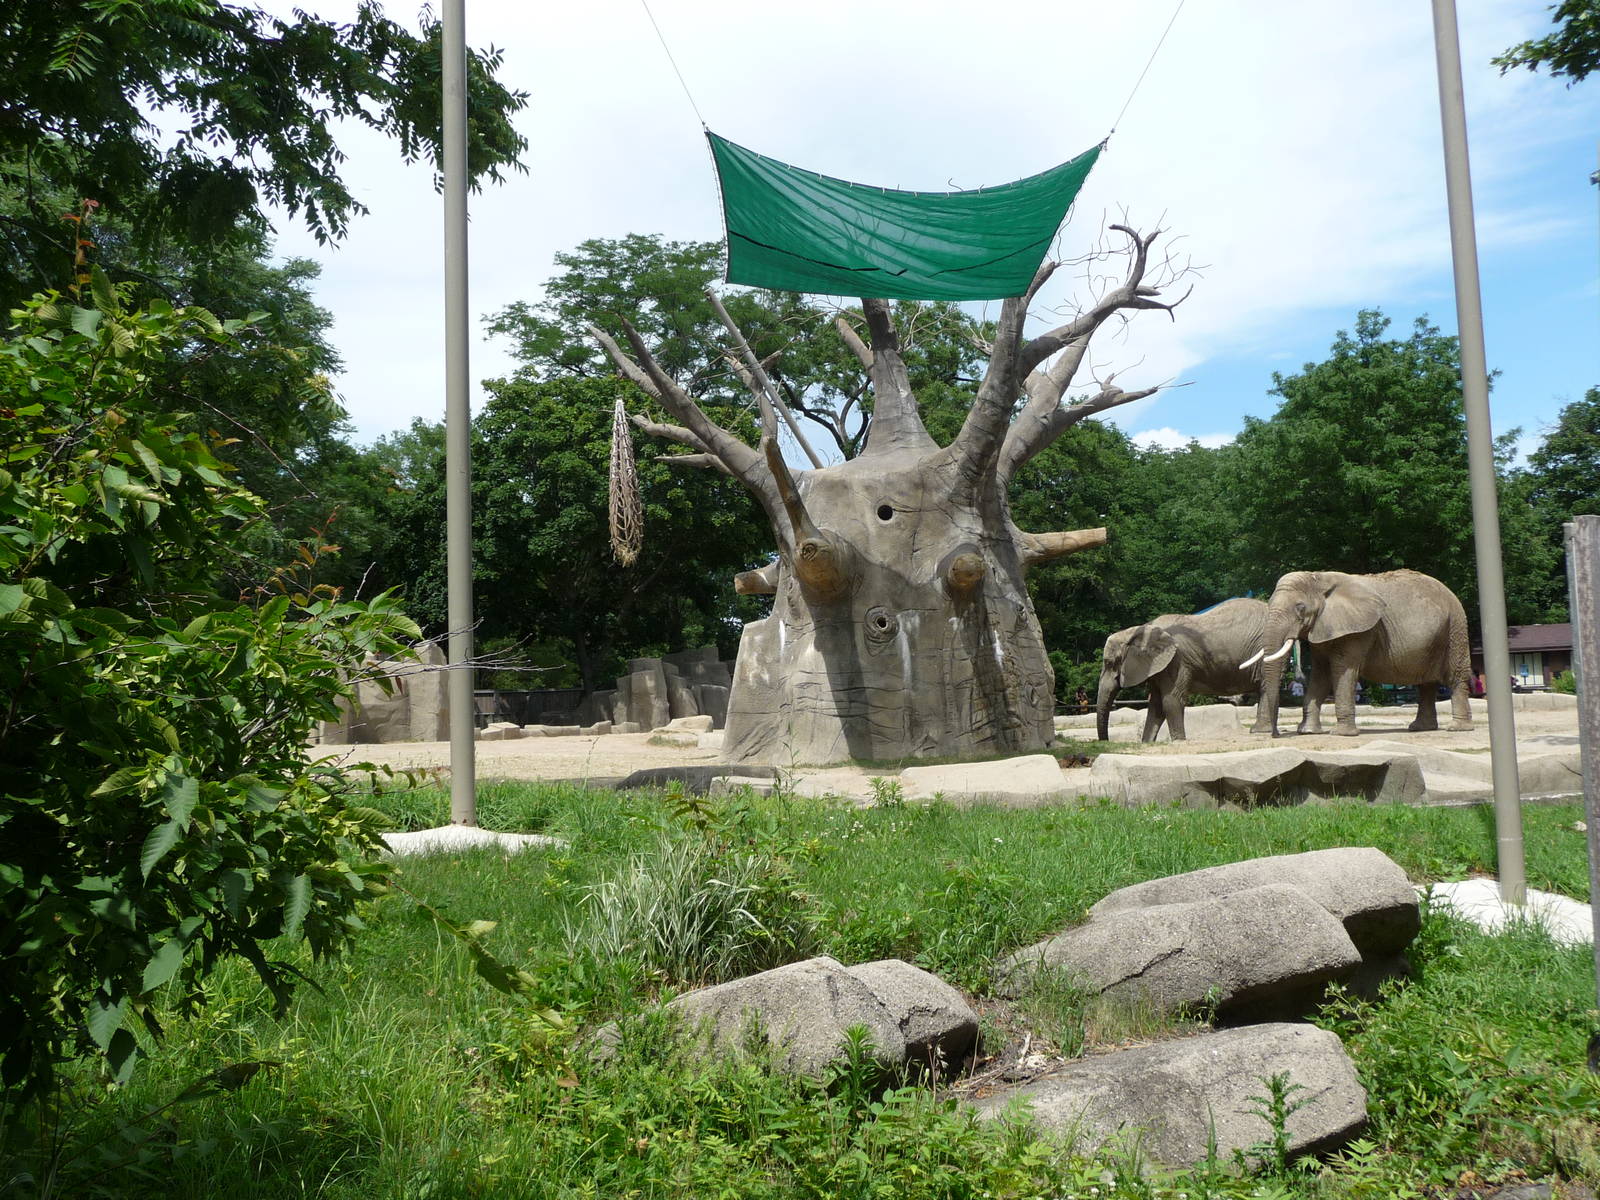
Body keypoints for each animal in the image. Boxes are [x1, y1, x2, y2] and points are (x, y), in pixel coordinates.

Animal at [1096, 598, 1269, 742]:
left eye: (1110, 663)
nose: (1106, 742)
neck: (1141, 629)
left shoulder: (1176, 662)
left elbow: (1170, 701)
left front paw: (1179, 741)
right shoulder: (1158, 667)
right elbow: (1156, 706)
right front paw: (1147, 743)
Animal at [1244, 569, 1473, 737]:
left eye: (1300, 607)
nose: (1274, 733)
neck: (1319, 578)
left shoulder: (1358, 630)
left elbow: (1342, 671)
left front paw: (1341, 734)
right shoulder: (1323, 627)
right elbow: (1320, 675)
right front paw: (1307, 732)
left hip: (1455, 628)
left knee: (1455, 676)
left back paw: (1457, 728)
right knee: (1426, 683)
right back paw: (1419, 728)